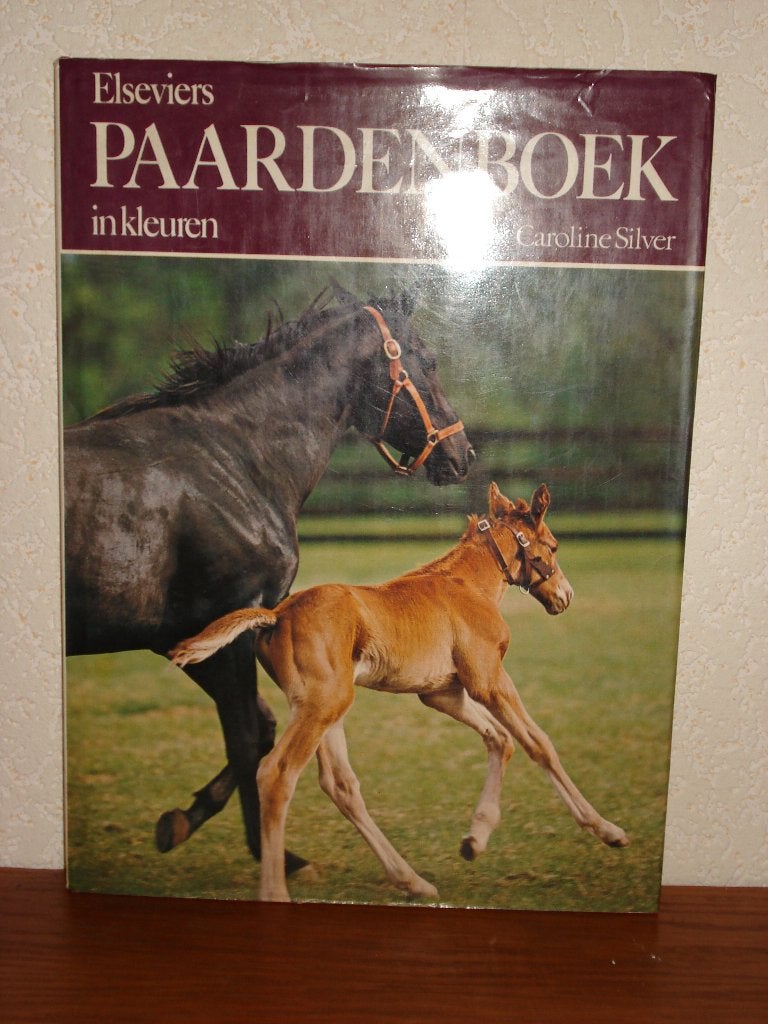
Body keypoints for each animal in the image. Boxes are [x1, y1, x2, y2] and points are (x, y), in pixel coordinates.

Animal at [64, 284, 474, 874]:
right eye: (430, 360)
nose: (463, 455)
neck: (235, 460)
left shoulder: (197, 639)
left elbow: (260, 730)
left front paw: (178, 822)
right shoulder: (228, 625)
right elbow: (244, 737)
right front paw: (272, 853)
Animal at [170, 483, 629, 902]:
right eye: (553, 546)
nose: (565, 596)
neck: (467, 584)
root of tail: (276, 614)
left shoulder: (444, 692)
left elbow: (500, 739)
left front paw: (474, 840)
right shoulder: (488, 679)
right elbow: (538, 743)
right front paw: (608, 830)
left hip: (322, 707)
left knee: (340, 785)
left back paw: (412, 880)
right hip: (323, 705)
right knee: (277, 773)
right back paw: (278, 890)